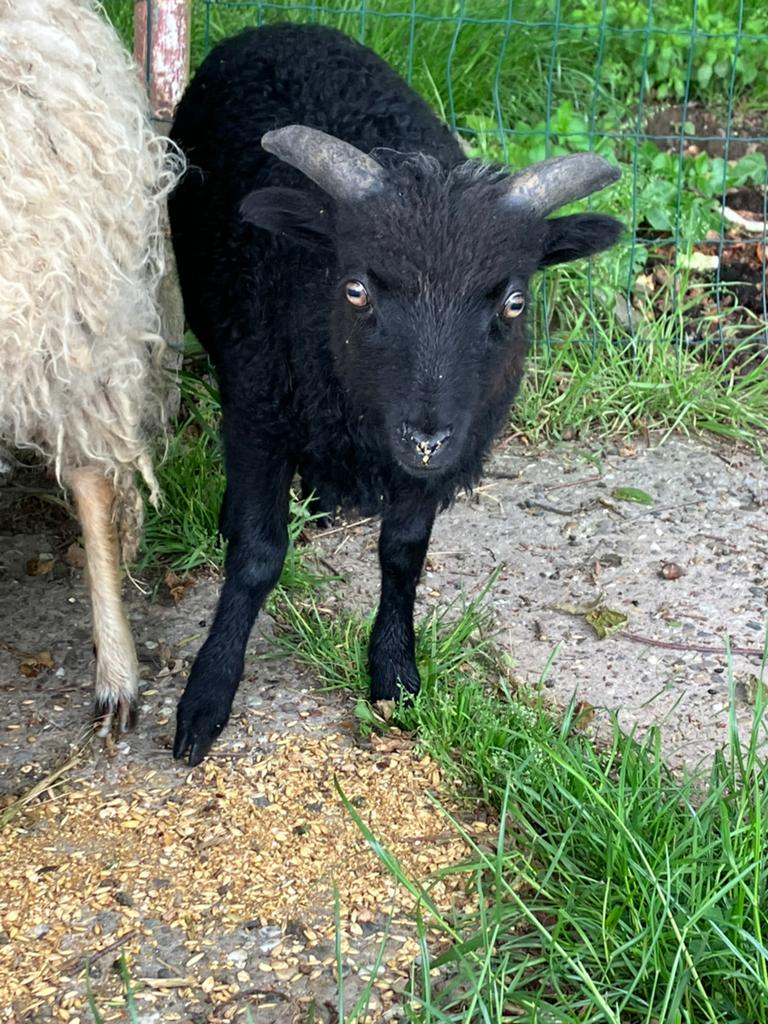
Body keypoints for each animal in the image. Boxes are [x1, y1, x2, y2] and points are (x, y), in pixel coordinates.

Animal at [169, 23, 623, 766]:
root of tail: (283, 25)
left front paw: (394, 672)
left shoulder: (439, 459)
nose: (426, 435)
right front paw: (206, 696)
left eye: (514, 301)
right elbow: (258, 556)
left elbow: (404, 553)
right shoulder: (260, 415)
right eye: (356, 289)